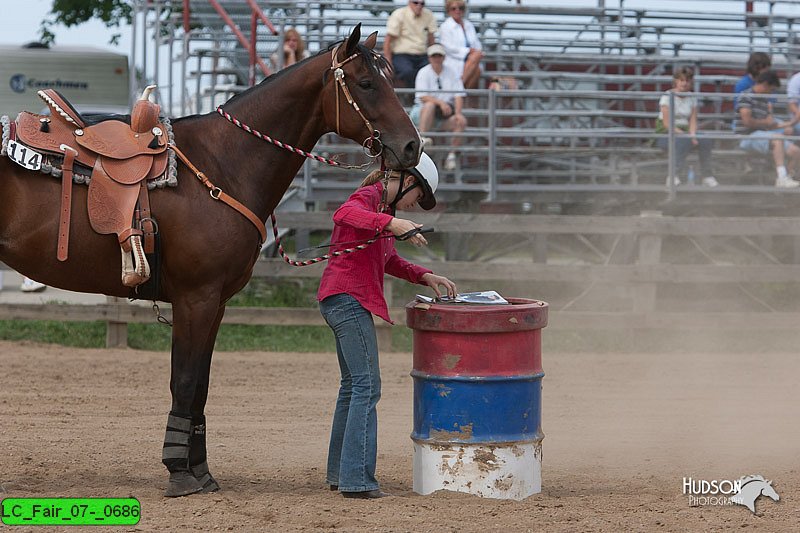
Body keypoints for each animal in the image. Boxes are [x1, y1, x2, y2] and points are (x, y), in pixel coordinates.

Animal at [0, 25, 422, 494]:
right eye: (366, 83)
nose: (412, 145)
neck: (223, 164)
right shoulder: (195, 298)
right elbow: (184, 382)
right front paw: (180, 473)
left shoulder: (215, 303)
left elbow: (200, 384)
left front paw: (200, 471)